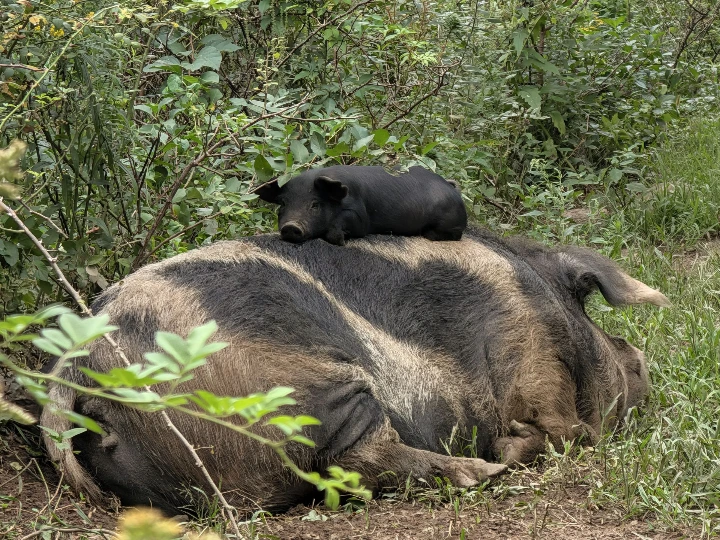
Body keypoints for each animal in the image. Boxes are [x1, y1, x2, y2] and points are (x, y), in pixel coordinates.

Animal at [252, 165, 467, 245]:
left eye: (315, 204)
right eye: (283, 204)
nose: (291, 226)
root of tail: (452, 188)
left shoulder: (360, 216)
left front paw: (340, 239)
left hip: (450, 221)